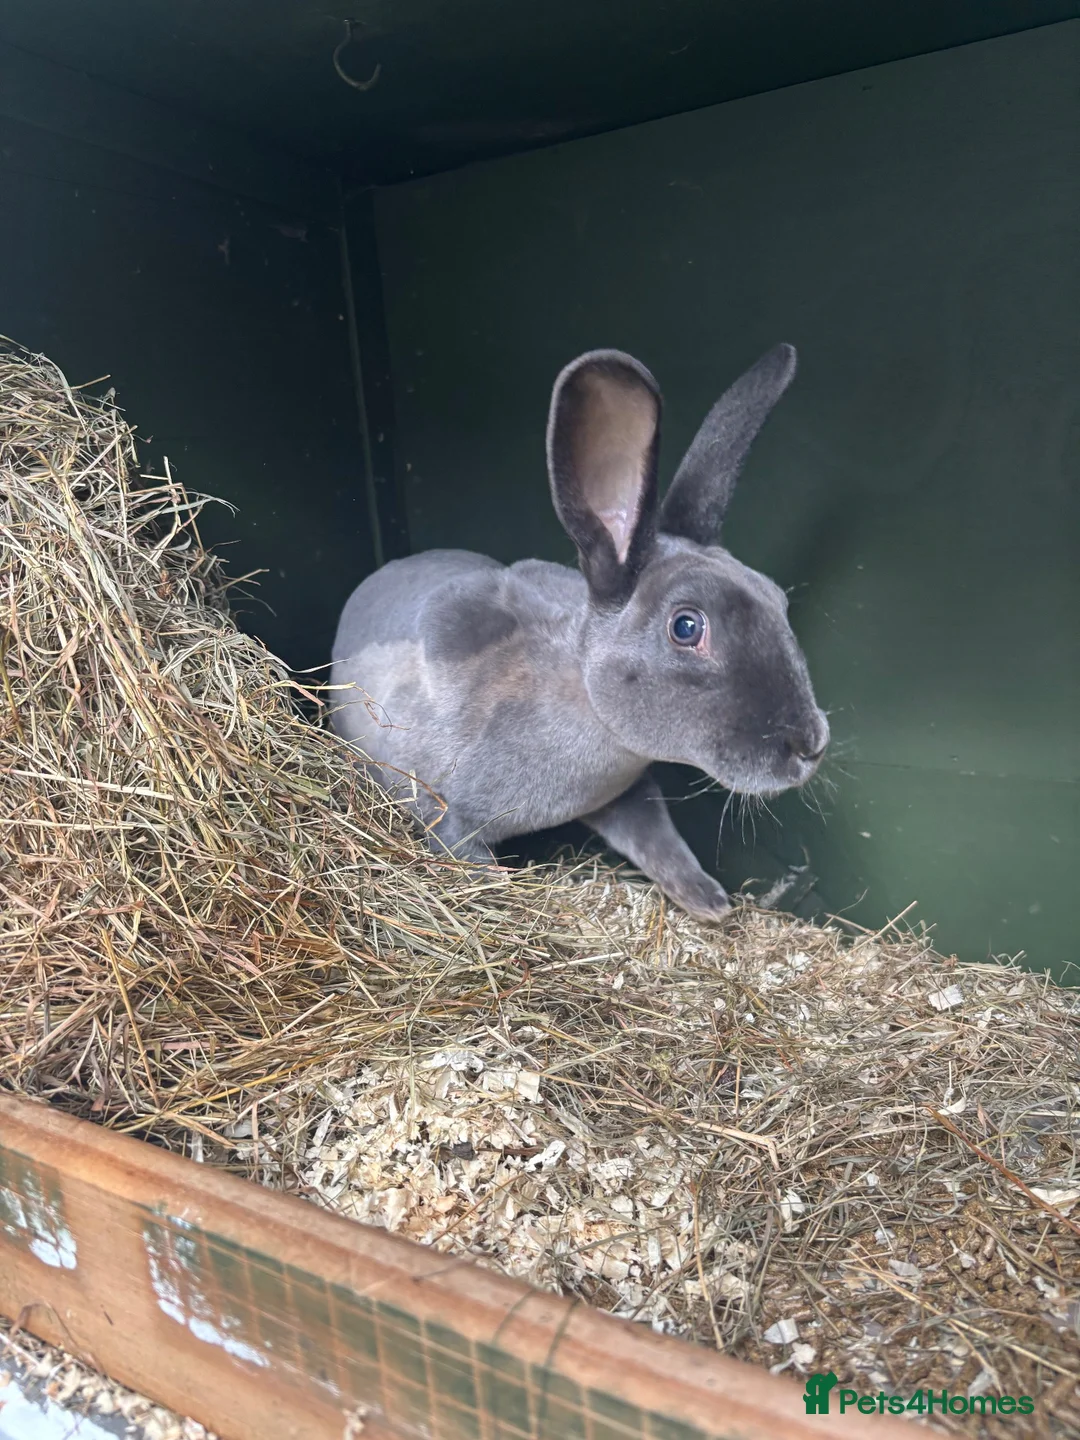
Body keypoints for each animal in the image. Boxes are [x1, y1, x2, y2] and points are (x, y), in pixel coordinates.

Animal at [330, 343, 829, 922]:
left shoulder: (629, 798)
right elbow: (472, 863)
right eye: (687, 627)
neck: (583, 702)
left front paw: (708, 902)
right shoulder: (448, 816)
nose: (811, 746)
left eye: (777, 599)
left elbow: (662, 846)